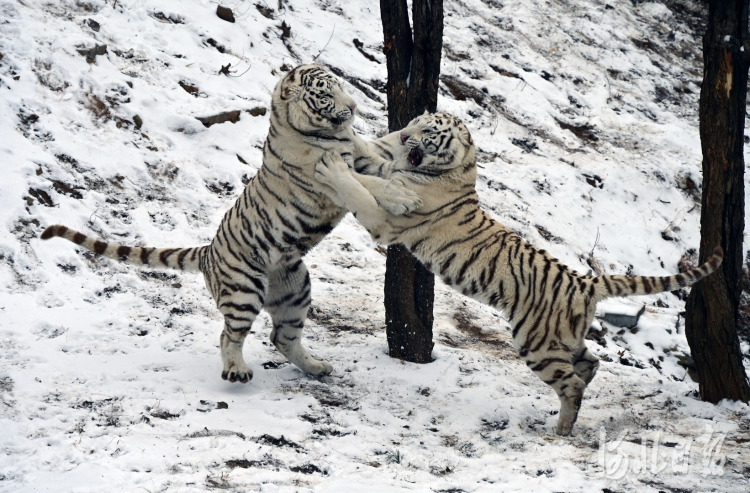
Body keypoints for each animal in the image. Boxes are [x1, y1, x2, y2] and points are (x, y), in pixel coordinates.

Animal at [41, 63, 424, 382]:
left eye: (341, 86)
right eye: (326, 94)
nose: (355, 108)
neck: (328, 134)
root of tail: (208, 252)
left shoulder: (362, 157)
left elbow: (381, 171)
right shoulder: (328, 182)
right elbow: (366, 185)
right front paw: (406, 199)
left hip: (295, 288)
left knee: (281, 337)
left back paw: (317, 367)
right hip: (243, 290)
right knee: (229, 334)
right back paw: (237, 371)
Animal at [316, 111, 724, 434]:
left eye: (428, 129)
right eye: (415, 120)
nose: (403, 135)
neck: (449, 169)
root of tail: (586, 281)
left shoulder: (386, 221)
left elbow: (362, 188)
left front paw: (332, 166)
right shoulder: (389, 168)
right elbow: (370, 162)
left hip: (536, 341)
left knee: (572, 383)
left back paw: (560, 431)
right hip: (563, 339)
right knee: (590, 365)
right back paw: (573, 404)